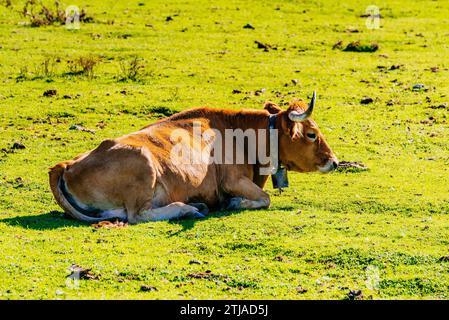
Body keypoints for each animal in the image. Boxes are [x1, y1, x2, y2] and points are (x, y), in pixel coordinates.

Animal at [49, 91, 336, 224]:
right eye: (311, 134)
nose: (334, 161)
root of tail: (65, 165)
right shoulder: (232, 181)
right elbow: (264, 199)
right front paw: (234, 203)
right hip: (143, 165)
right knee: (137, 215)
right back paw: (188, 208)